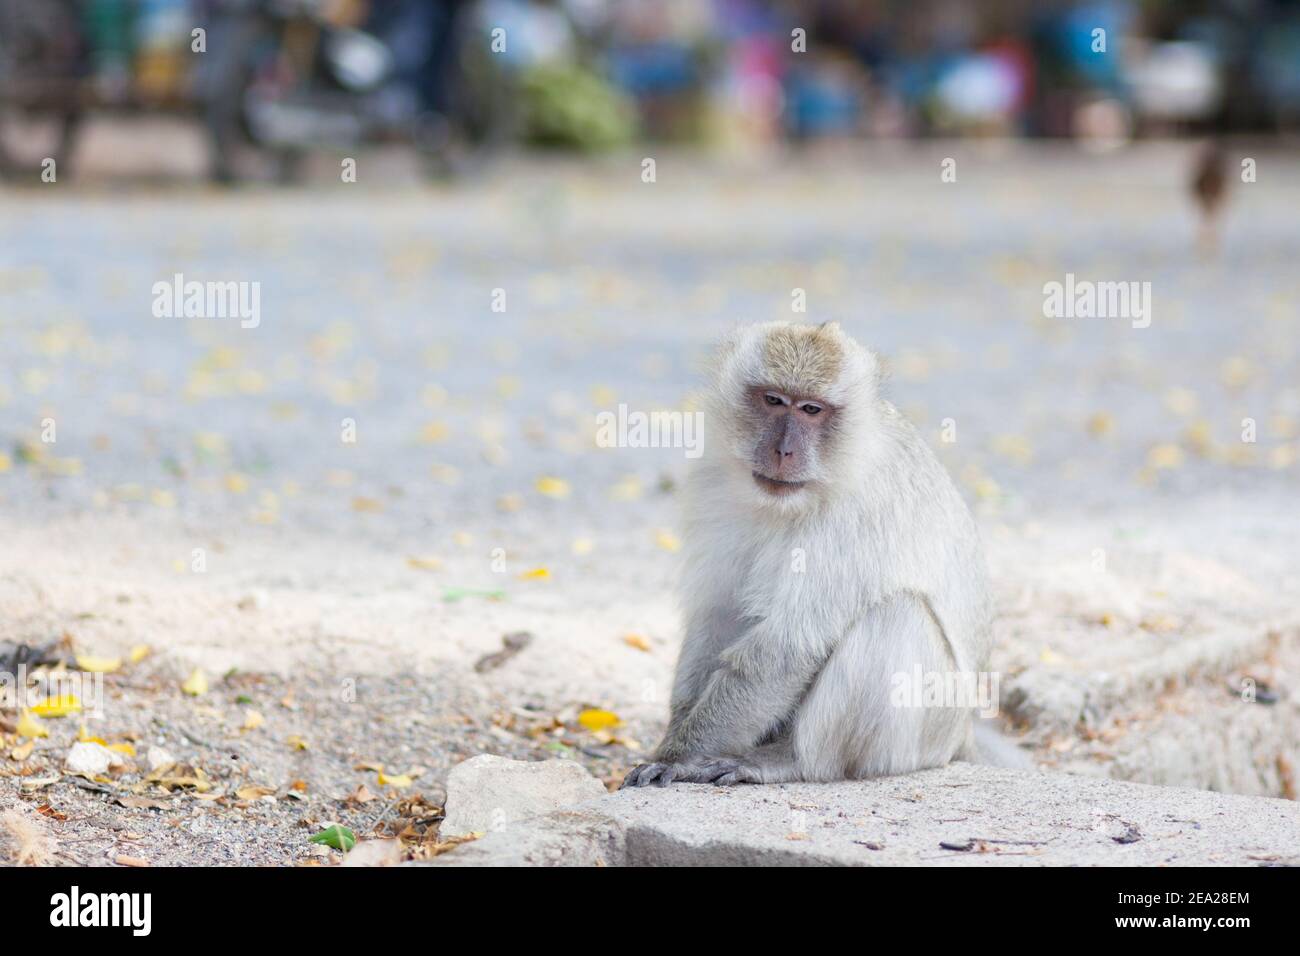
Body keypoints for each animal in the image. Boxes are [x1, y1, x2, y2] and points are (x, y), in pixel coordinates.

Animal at [624, 321, 1013, 788]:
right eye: (774, 400)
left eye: (812, 409)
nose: (783, 450)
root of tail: (963, 736)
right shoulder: (713, 484)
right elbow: (719, 613)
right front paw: (673, 737)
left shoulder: (857, 513)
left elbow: (788, 648)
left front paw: (681, 755)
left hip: (927, 733)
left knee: (896, 614)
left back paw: (792, 760)